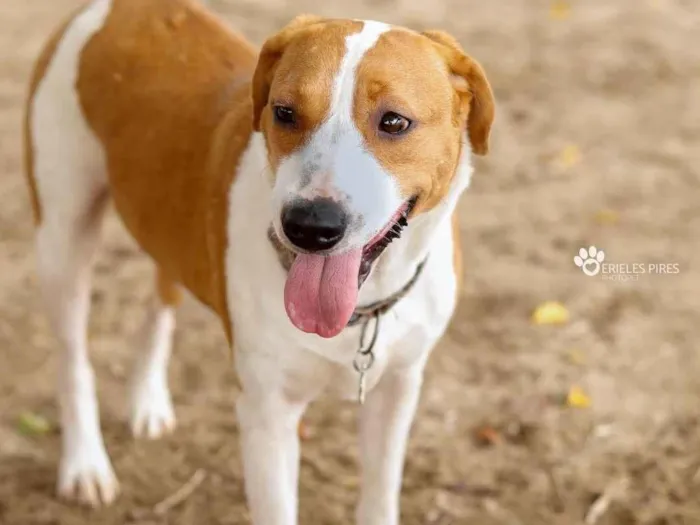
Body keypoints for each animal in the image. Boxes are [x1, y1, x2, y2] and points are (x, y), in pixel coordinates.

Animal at [21, 1, 492, 520]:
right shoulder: (268, 416)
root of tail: (120, 8)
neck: (362, 308)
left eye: (394, 122)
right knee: (73, 359)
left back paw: (146, 400)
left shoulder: (397, 392)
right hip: (63, 239)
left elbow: (379, 500)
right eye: (284, 113)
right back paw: (84, 464)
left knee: (162, 296)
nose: (309, 225)